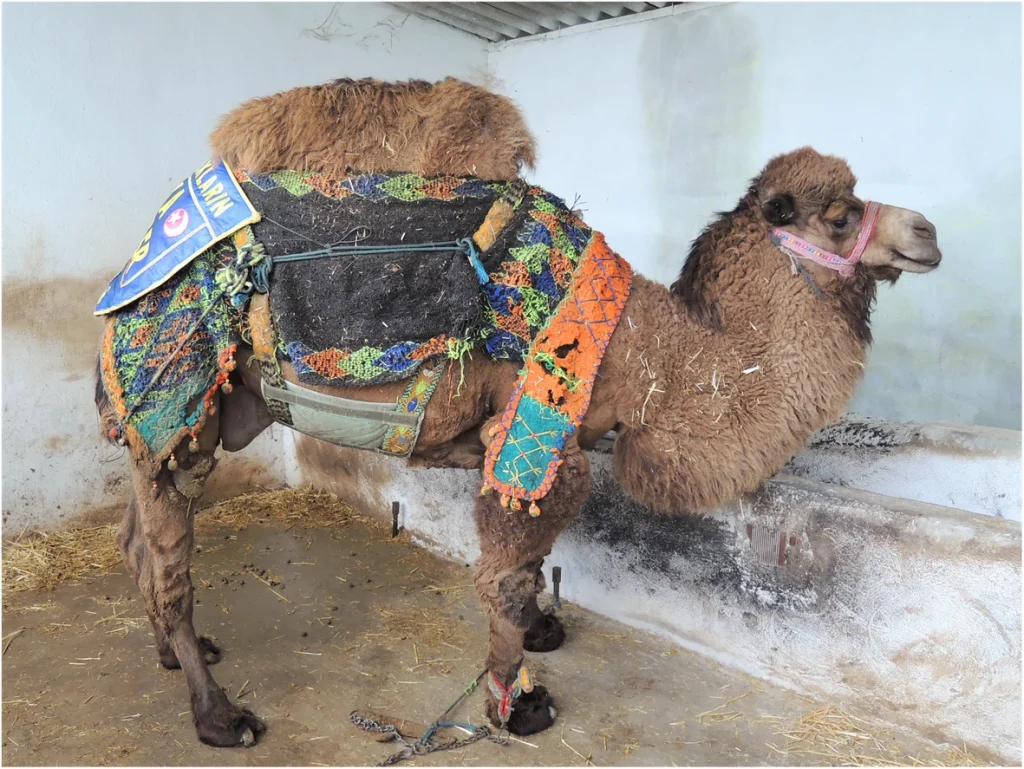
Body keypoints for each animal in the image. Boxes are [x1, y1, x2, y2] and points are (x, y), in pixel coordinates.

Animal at [94, 78, 942, 748]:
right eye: (841, 214)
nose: (928, 232)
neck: (652, 354)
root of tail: (138, 256)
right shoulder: (536, 432)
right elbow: (503, 575)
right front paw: (517, 704)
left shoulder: (529, 446)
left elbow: (527, 564)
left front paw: (540, 633)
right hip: (176, 399)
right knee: (170, 561)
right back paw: (219, 714)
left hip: (203, 417)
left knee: (139, 537)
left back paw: (177, 651)